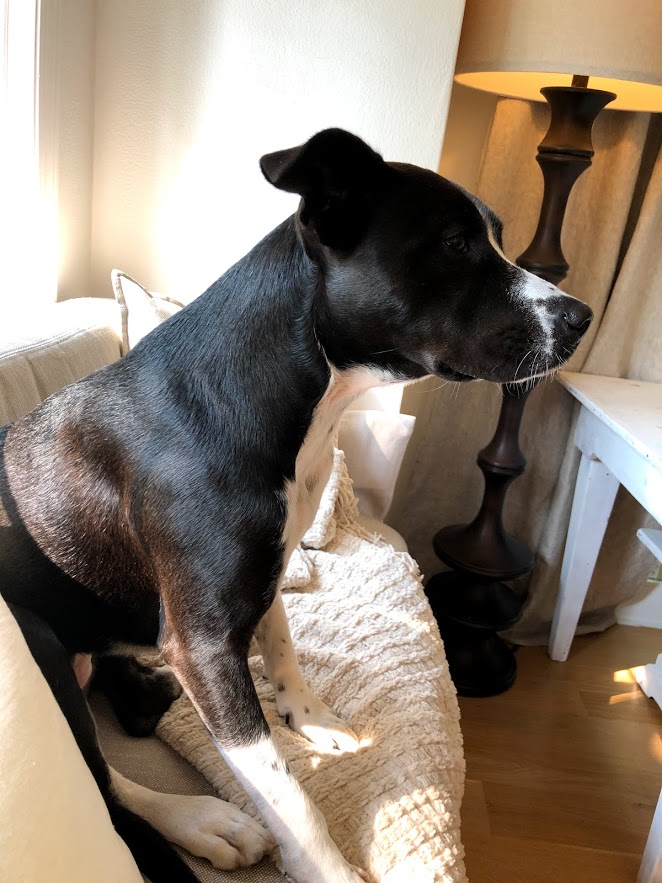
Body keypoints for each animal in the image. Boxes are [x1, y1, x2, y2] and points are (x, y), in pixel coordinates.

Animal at [0, 126, 592, 883]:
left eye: (493, 236)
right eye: (456, 243)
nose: (582, 316)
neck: (304, 390)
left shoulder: (266, 567)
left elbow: (279, 638)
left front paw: (306, 714)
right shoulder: (205, 644)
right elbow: (284, 790)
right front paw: (326, 866)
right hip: (33, 635)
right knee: (98, 779)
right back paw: (202, 818)